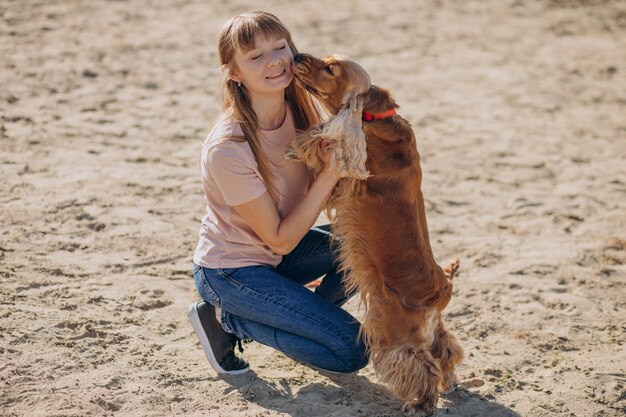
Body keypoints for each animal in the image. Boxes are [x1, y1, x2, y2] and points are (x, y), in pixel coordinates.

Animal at [286, 53, 460, 414]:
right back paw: (449, 382)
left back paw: (422, 403)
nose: (295, 55)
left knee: (420, 366)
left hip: (394, 332)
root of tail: (442, 290)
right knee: (446, 350)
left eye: (331, 69)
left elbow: (320, 145)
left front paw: (297, 146)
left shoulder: (342, 182)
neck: (373, 115)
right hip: (430, 329)